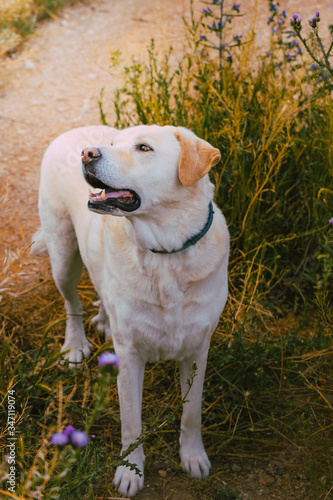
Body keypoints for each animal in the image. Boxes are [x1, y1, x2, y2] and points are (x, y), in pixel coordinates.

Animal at [31, 124, 228, 496]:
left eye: (144, 148)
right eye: (112, 144)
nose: (88, 153)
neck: (165, 253)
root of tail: (73, 129)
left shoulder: (197, 349)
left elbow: (191, 413)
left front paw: (193, 457)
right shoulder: (130, 357)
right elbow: (131, 422)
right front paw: (130, 471)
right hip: (63, 255)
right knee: (71, 303)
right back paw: (75, 346)